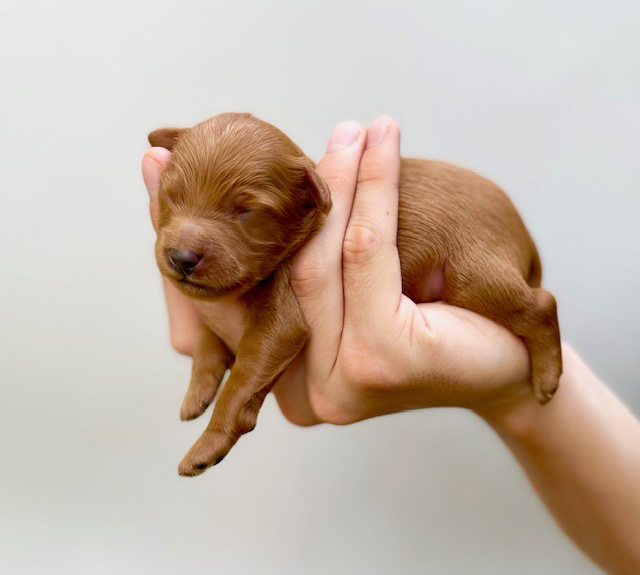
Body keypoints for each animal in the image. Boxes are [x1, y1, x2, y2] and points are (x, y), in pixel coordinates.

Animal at [149, 112, 560, 476]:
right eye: (170, 195)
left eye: (245, 210)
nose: (181, 258)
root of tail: (525, 235)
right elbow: (209, 340)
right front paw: (198, 391)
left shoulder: (280, 319)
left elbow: (240, 383)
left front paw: (205, 447)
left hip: (472, 272)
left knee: (543, 304)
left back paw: (547, 379)